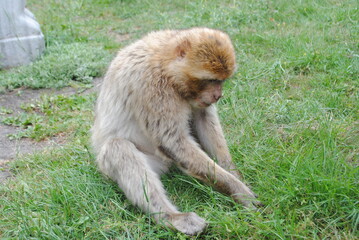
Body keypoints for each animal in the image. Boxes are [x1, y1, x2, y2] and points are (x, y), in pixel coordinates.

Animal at [91, 27, 260, 234]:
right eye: (211, 80)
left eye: (222, 81)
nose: (218, 95)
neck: (166, 66)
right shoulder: (152, 87)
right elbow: (172, 142)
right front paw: (238, 190)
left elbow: (202, 118)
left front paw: (232, 173)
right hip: (124, 167)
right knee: (117, 147)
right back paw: (170, 218)